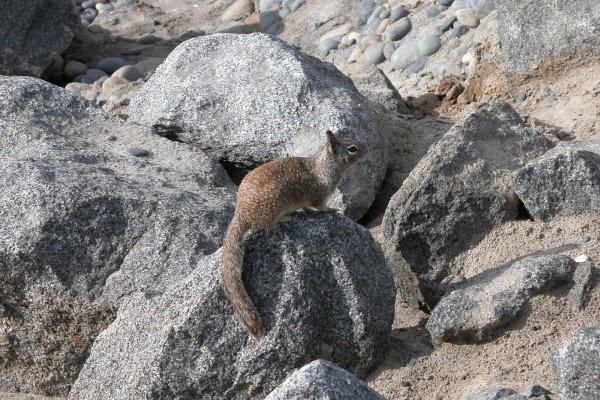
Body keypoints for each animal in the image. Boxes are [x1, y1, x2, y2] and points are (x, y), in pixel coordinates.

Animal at [218, 131, 364, 338]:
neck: (323, 166)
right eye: (352, 149)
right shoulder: (320, 196)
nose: (366, 148)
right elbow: (320, 207)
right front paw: (330, 210)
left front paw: (307, 211)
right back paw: (285, 218)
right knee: (265, 224)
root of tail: (240, 213)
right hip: (272, 207)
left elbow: (306, 207)